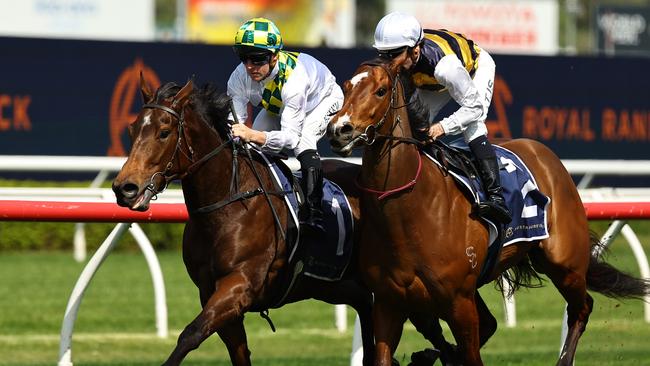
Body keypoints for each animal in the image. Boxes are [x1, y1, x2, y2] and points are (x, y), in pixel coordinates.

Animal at [112, 76, 374, 366]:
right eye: (132, 129)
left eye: (164, 132)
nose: (125, 188)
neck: (229, 204)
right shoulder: (210, 291)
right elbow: (237, 350)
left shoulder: (240, 284)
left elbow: (190, 334)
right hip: (335, 285)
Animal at [326, 55, 648, 366]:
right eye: (346, 86)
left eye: (381, 90)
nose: (340, 129)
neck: (408, 212)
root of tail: (545, 154)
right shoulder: (388, 302)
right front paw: (433, 354)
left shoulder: (459, 300)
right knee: (493, 323)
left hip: (564, 262)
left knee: (582, 308)